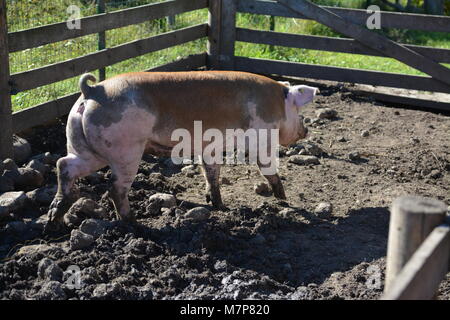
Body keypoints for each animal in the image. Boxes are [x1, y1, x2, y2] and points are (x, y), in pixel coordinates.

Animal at [45, 71, 318, 229]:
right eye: (299, 111)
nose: (306, 130)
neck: (279, 102)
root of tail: (92, 90)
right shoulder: (263, 134)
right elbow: (266, 166)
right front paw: (284, 200)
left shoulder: (210, 147)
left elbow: (212, 173)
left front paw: (219, 206)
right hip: (126, 150)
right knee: (115, 188)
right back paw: (133, 222)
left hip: (85, 148)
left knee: (64, 165)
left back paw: (54, 220)